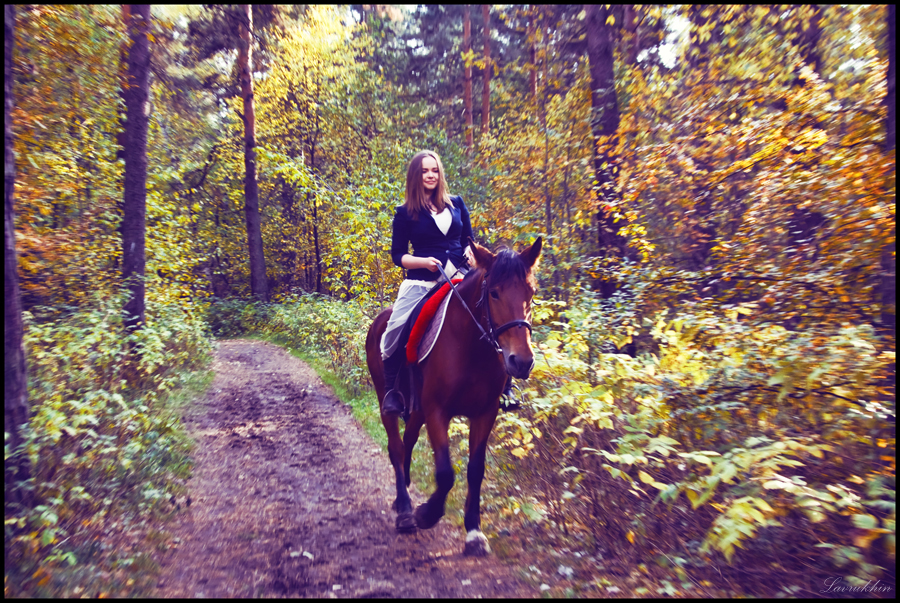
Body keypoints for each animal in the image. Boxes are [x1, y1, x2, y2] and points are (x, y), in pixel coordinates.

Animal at [364, 236, 540, 556]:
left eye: (530, 293)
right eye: (494, 293)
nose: (521, 361)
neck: (471, 347)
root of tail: (379, 321)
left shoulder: (485, 413)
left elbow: (475, 470)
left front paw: (474, 532)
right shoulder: (437, 411)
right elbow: (446, 473)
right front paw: (426, 514)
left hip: (417, 409)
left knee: (408, 442)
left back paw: (402, 496)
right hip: (388, 400)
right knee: (395, 446)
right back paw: (405, 509)